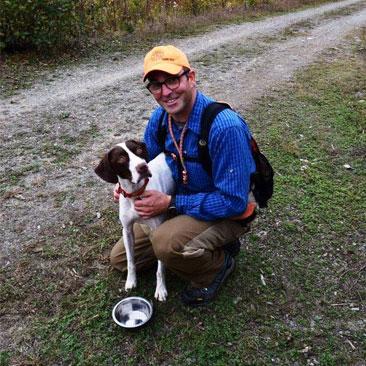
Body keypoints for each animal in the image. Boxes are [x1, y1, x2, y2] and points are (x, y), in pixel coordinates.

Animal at [94, 139, 174, 300]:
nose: (143, 166)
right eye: (121, 159)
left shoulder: (157, 230)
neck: (135, 193)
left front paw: (161, 289)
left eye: (138, 150)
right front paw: (131, 281)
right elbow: (130, 261)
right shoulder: (127, 231)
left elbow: (160, 269)